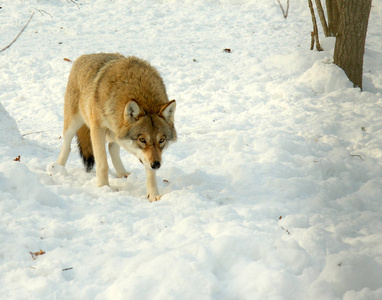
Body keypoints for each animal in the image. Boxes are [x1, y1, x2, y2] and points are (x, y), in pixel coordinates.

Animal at [56, 53, 177, 202]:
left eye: (162, 140)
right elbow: (102, 164)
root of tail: (84, 56)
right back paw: (57, 169)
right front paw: (103, 188)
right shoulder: (97, 129)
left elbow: (150, 173)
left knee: (112, 148)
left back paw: (122, 173)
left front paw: (153, 195)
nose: (157, 165)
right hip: (73, 123)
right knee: (67, 146)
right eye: (142, 139)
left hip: (115, 134)